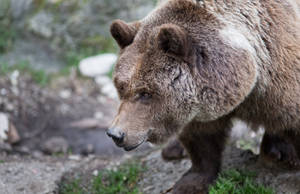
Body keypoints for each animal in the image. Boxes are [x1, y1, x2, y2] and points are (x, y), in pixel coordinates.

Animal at [107, 0, 300, 192]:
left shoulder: (277, 78)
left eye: (145, 92)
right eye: (121, 87)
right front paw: (189, 182)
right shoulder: (197, 108)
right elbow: (201, 138)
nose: (116, 134)